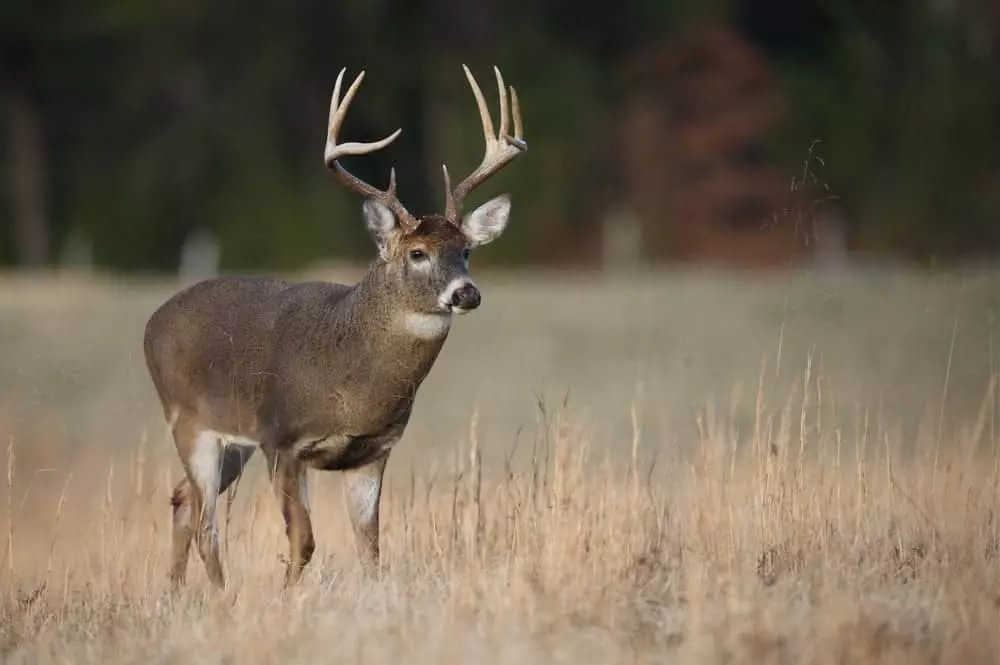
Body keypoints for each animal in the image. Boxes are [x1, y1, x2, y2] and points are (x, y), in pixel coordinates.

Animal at [142, 64, 526, 590]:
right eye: (417, 253)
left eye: (466, 250)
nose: (466, 292)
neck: (352, 383)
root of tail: (152, 323)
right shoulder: (282, 439)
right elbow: (303, 542)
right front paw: (287, 597)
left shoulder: (371, 452)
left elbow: (371, 550)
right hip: (189, 422)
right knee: (205, 523)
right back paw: (221, 596)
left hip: (232, 443)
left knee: (183, 499)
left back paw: (180, 593)